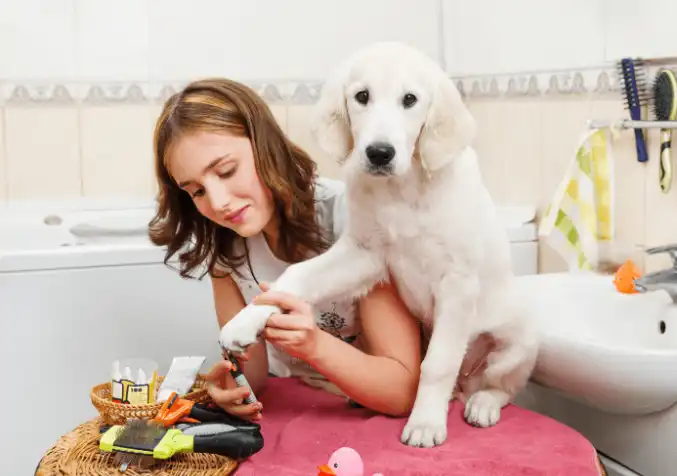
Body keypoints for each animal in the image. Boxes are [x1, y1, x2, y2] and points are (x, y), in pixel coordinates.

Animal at [219, 41, 536, 446]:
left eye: (410, 99)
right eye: (362, 97)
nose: (379, 153)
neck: (402, 189)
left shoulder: (458, 280)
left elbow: (438, 362)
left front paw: (425, 424)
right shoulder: (363, 253)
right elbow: (297, 275)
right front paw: (246, 320)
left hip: (519, 340)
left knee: (500, 385)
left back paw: (482, 404)